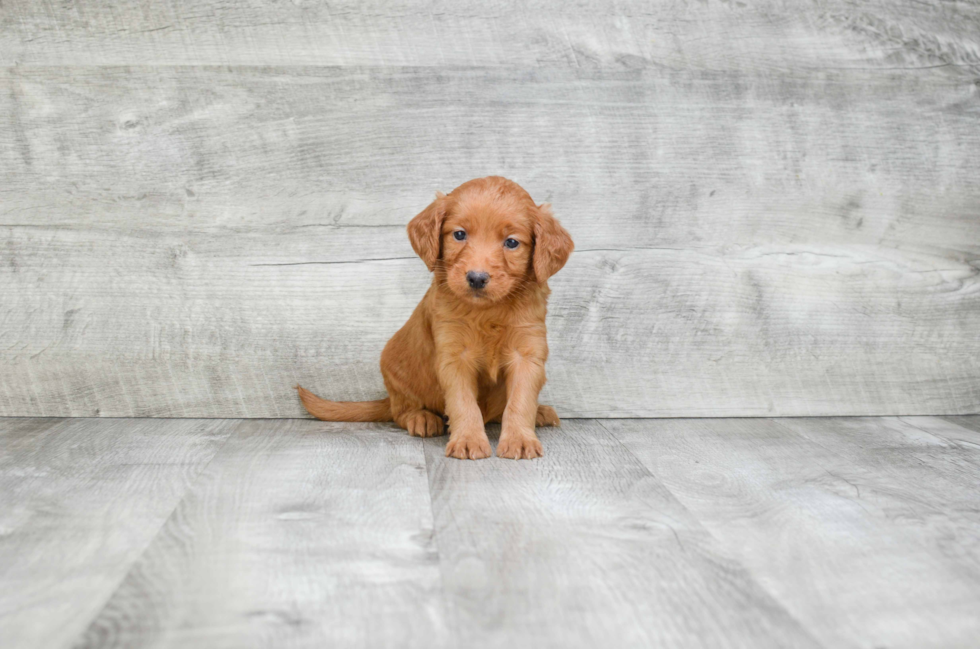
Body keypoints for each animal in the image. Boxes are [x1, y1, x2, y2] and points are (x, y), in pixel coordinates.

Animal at [296, 175, 576, 458]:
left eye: (511, 242)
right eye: (459, 234)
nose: (476, 278)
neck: (488, 312)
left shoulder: (527, 352)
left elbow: (520, 401)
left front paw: (519, 439)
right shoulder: (454, 355)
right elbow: (463, 402)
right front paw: (468, 439)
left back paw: (540, 413)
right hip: (395, 373)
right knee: (400, 412)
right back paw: (422, 418)